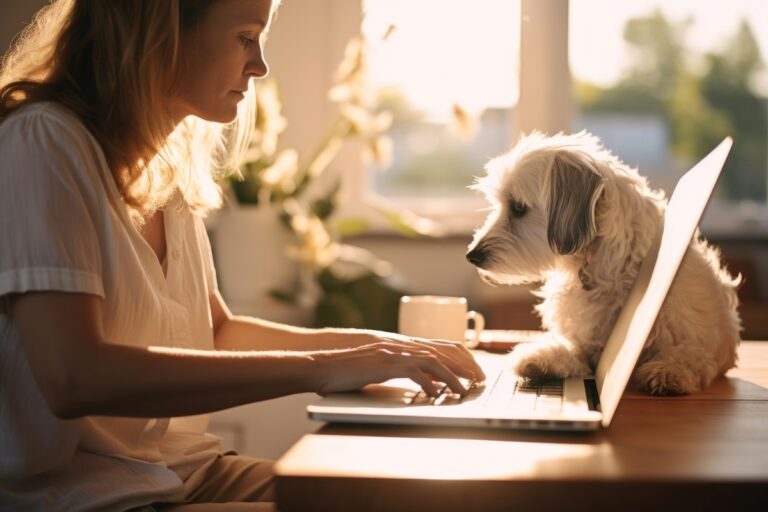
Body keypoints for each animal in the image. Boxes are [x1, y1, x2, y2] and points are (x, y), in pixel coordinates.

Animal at [464, 132, 740, 396]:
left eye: (518, 207)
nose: (472, 256)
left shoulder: (703, 343)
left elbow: (689, 355)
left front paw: (669, 370)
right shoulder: (583, 344)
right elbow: (571, 351)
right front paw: (542, 358)